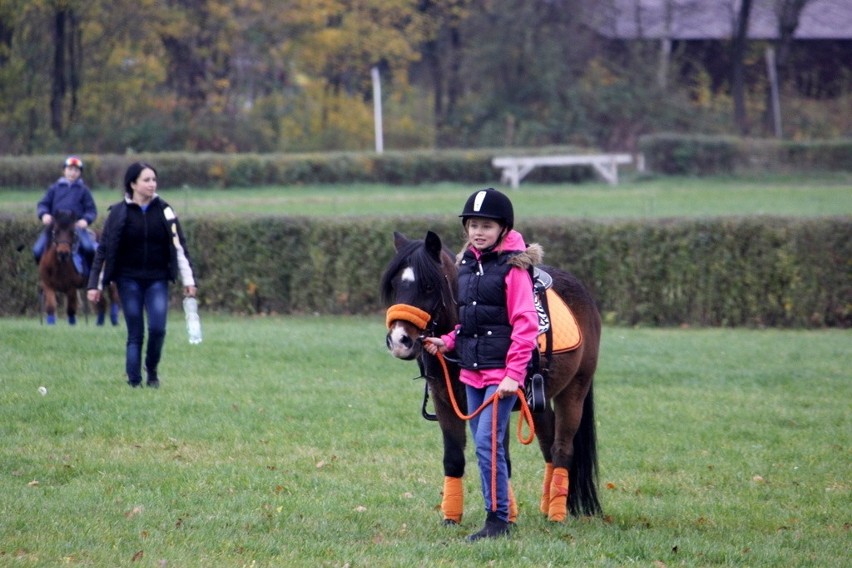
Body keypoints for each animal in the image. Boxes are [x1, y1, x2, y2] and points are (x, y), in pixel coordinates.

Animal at [382, 231, 604, 524]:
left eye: (428, 286)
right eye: (395, 285)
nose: (399, 341)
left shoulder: (498, 402)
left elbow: (501, 459)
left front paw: (503, 516)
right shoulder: (445, 404)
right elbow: (454, 457)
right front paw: (451, 517)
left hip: (575, 390)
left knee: (562, 449)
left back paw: (556, 514)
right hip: (538, 401)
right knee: (548, 446)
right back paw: (548, 507)